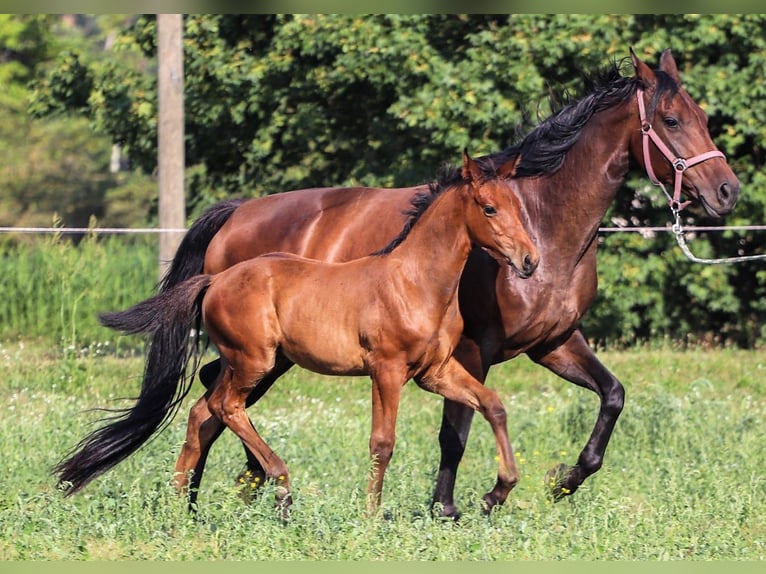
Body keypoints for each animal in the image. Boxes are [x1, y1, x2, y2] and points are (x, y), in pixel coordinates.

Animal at [58, 151, 540, 516]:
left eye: (520, 208)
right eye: (489, 208)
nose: (530, 261)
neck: (415, 282)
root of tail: (215, 280)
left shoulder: (435, 372)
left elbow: (493, 405)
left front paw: (499, 490)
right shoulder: (386, 371)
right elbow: (382, 443)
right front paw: (371, 516)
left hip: (247, 363)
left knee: (202, 413)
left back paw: (183, 507)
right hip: (254, 361)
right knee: (224, 406)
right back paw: (280, 488)